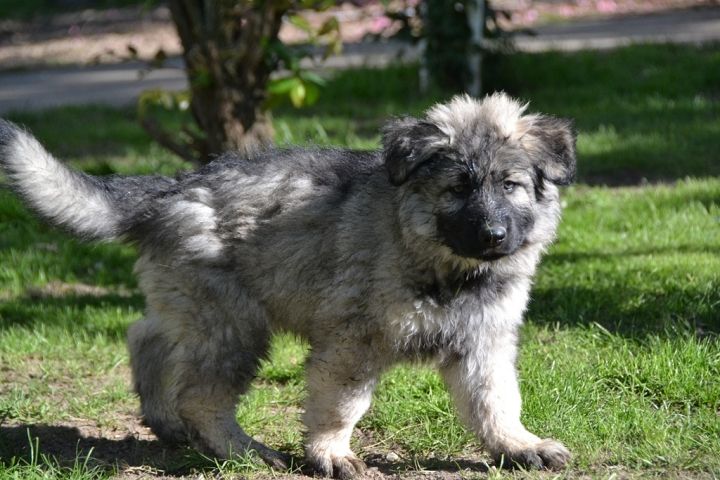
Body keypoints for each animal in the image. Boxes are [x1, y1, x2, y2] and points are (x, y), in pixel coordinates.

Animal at [0, 93, 576, 477]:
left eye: (510, 185)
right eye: (457, 189)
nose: (494, 235)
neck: (441, 262)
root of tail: (171, 190)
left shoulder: (484, 340)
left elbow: (495, 399)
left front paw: (517, 446)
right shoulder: (352, 343)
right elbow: (340, 404)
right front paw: (331, 453)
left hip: (196, 308)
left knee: (146, 336)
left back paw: (163, 420)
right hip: (235, 325)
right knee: (201, 395)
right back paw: (243, 451)